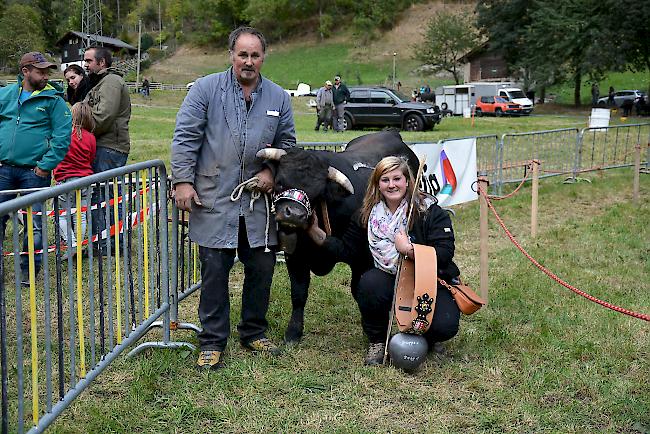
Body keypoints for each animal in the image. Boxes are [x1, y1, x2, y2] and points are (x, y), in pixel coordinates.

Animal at [256, 129, 418, 342]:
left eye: (317, 193)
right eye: (280, 182)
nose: (295, 215)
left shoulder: (361, 258)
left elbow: (359, 289)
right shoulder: (296, 256)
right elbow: (298, 293)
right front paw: (293, 332)